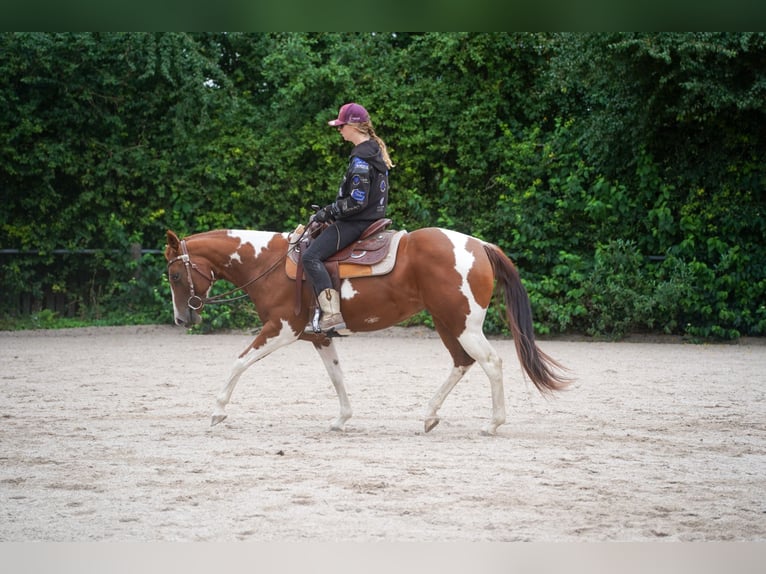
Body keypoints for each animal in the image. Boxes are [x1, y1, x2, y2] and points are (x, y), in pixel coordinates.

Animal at [164, 226, 570, 435]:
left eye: (175, 275)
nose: (182, 320)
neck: (270, 263)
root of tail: (480, 245)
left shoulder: (282, 329)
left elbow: (239, 361)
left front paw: (217, 411)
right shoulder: (317, 336)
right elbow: (337, 377)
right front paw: (341, 419)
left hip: (462, 324)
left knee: (491, 362)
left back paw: (493, 423)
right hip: (447, 322)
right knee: (461, 362)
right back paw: (429, 415)